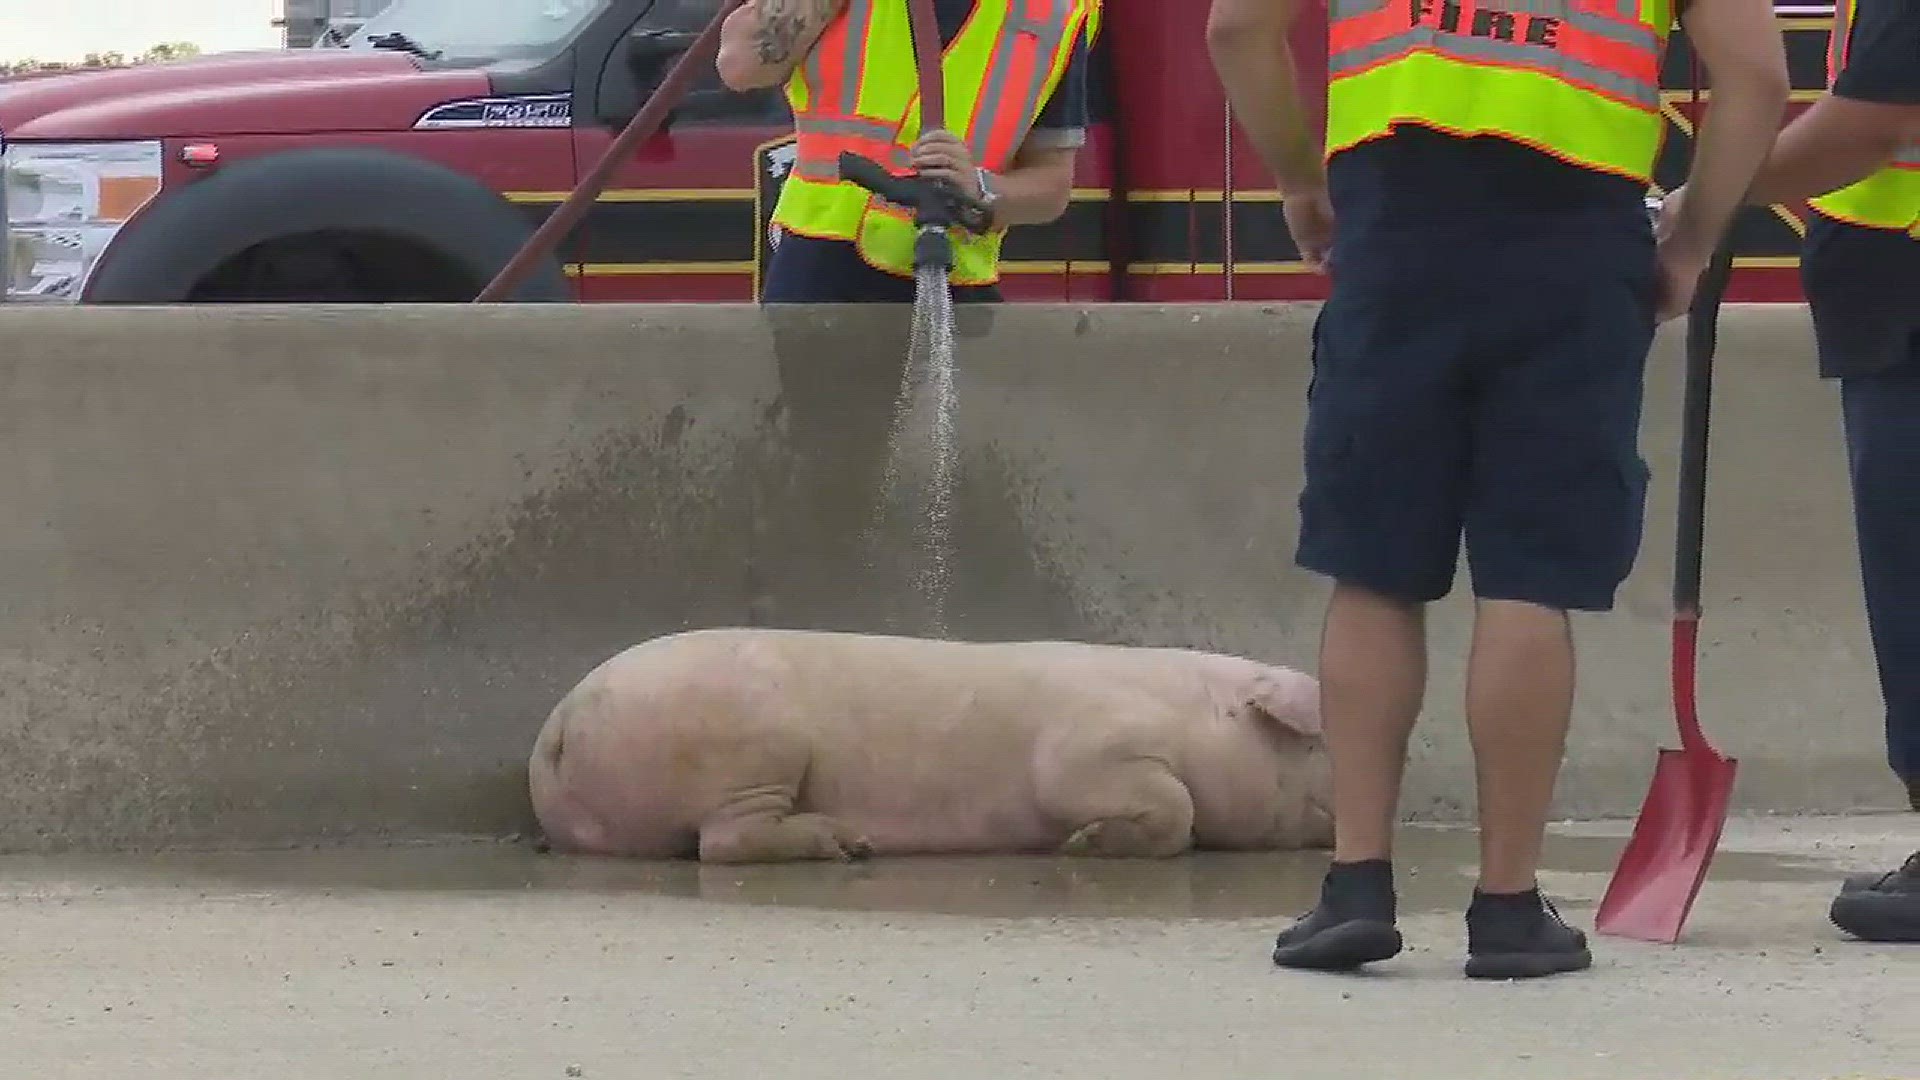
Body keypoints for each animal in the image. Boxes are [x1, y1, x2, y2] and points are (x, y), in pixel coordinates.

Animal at [526, 622, 1336, 857]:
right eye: (1318, 744)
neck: (1205, 722)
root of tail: (558, 726)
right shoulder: (1090, 745)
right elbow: (1172, 806)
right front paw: (1081, 846)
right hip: (754, 744)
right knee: (720, 842)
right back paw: (846, 845)